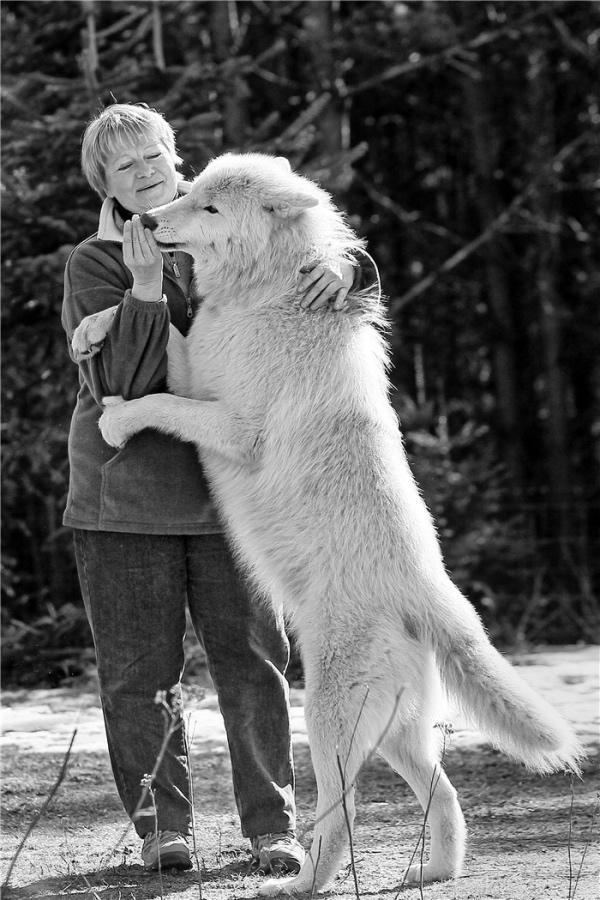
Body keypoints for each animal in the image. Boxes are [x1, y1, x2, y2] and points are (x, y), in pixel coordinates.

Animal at [88, 153, 580, 892]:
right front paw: (92, 328)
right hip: (396, 733)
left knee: (339, 818)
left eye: (207, 207)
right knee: (445, 796)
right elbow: (161, 333)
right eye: (190, 190)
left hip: (325, 721)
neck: (265, 295)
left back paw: (296, 881)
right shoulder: (196, 358)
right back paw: (433, 873)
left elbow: (160, 402)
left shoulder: (228, 422)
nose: (144, 221)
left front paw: (116, 418)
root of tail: (431, 595)